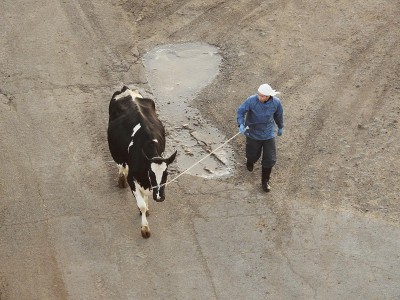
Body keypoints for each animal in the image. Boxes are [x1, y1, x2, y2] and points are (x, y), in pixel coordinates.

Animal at [106, 85, 177, 238]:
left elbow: (145, 199)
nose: (160, 197)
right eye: (151, 173)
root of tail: (127, 90)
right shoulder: (133, 179)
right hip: (117, 153)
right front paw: (145, 229)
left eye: (166, 174)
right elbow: (141, 205)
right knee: (121, 165)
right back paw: (121, 179)